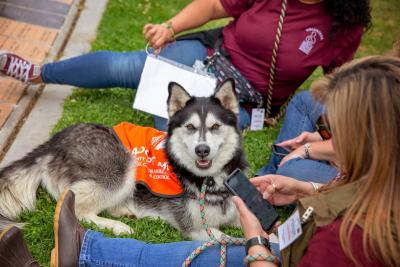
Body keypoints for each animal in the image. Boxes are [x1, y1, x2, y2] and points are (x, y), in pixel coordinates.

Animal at [0, 79, 248, 241]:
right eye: (190, 127)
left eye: (215, 126)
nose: (202, 150)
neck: (208, 182)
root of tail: (55, 140)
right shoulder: (194, 228)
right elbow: (231, 240)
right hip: (123, 167)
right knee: (74, 207)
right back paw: (117, 226)